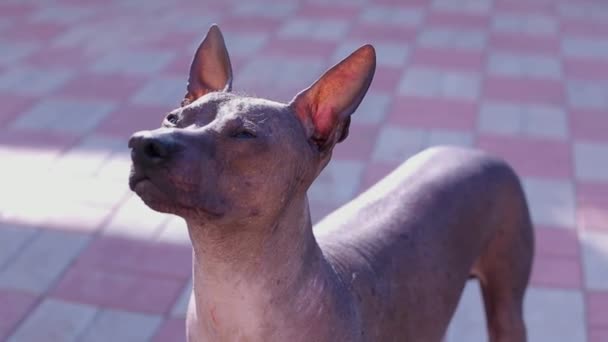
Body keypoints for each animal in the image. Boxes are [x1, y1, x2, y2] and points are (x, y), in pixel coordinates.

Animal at [127, 24, 532, 342]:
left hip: (507, 305)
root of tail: (475, 150)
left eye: (244, 134)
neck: (233, 294)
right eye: (173, 117)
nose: (143, 144)